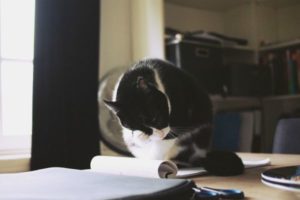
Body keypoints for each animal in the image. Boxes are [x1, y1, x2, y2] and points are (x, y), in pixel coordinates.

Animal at [105, 58, 244, 176]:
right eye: (136, 126)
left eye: (156, 117)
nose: (159, 135)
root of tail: (204, 154)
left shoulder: (180, 110)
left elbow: (166, 141)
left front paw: (158, 164)